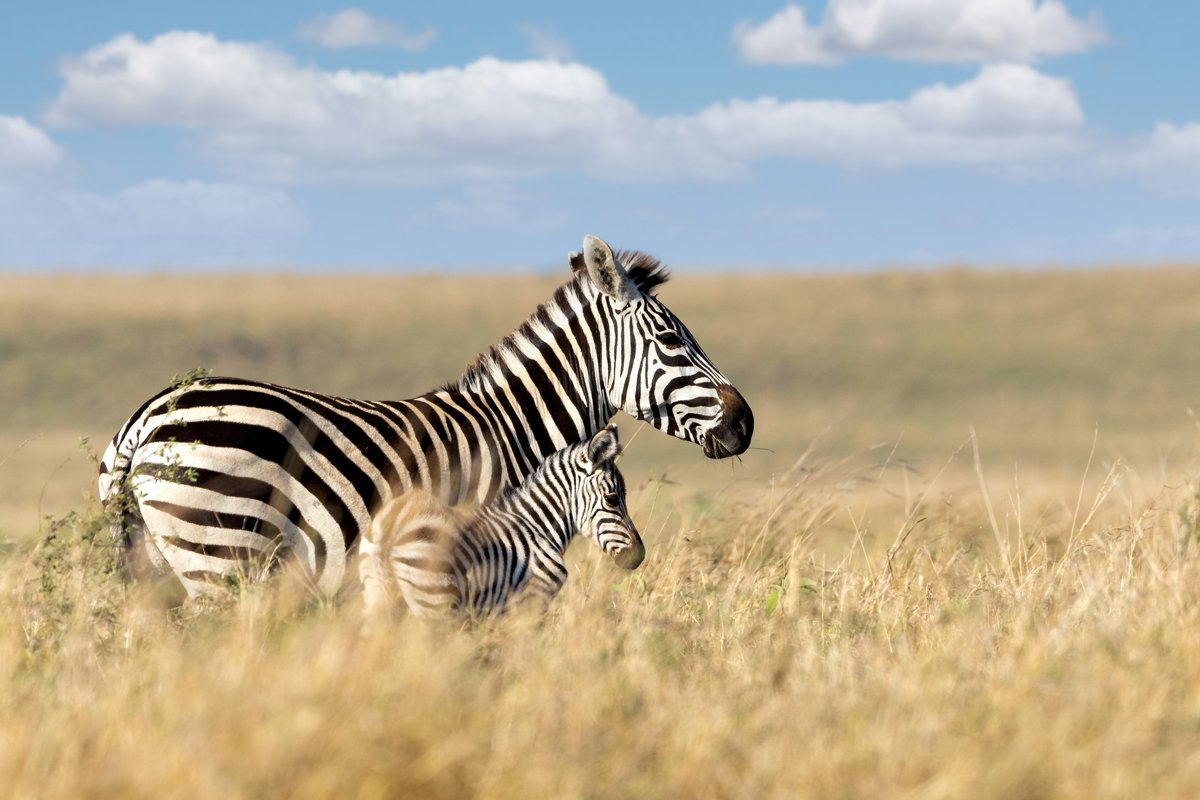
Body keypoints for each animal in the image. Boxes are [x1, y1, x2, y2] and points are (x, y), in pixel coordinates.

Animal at [355, 424, 638, 618]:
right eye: (612, 499)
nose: (639, 555)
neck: (538, 524)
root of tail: (392, 522)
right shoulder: (532, 600)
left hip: (379, 597)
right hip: (435, 601)